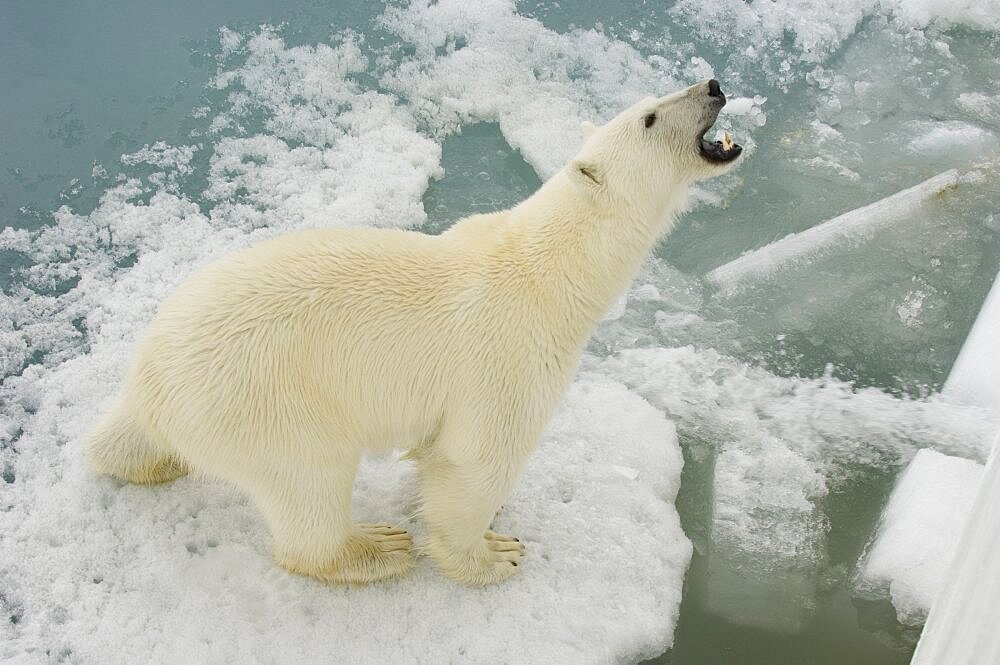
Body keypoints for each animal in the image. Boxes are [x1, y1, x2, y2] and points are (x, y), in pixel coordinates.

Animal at [86, 79, 744, 588]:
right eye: (650, 115)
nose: (712, 85)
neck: (552, 272)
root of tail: (149, 374)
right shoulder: (508, 355)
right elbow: (475, 459)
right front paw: (492, 555)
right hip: (265, 401)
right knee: (309, 483)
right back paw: (376, 549)